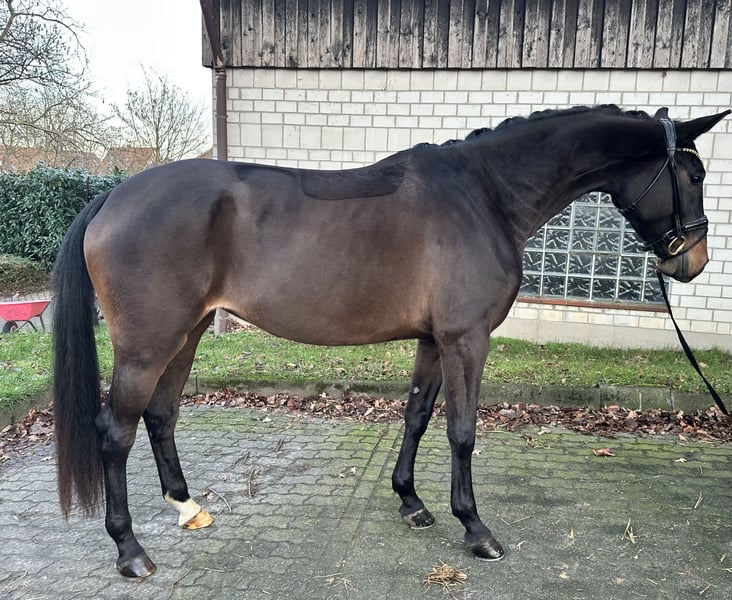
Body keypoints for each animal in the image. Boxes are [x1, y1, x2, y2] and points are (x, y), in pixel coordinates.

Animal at [52, 105, 729, 578]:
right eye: (694, 172)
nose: (692, 261)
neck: (484, 196)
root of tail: (112, 195)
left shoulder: (434, 340)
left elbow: (418, 416)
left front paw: (411, 502)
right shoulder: (466, 339)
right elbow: (462, 430)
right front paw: (475, 528)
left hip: (186, 333)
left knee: (161, 415)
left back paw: (188, 509)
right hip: (147, 344)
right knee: (115, 431)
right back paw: (130, 550)